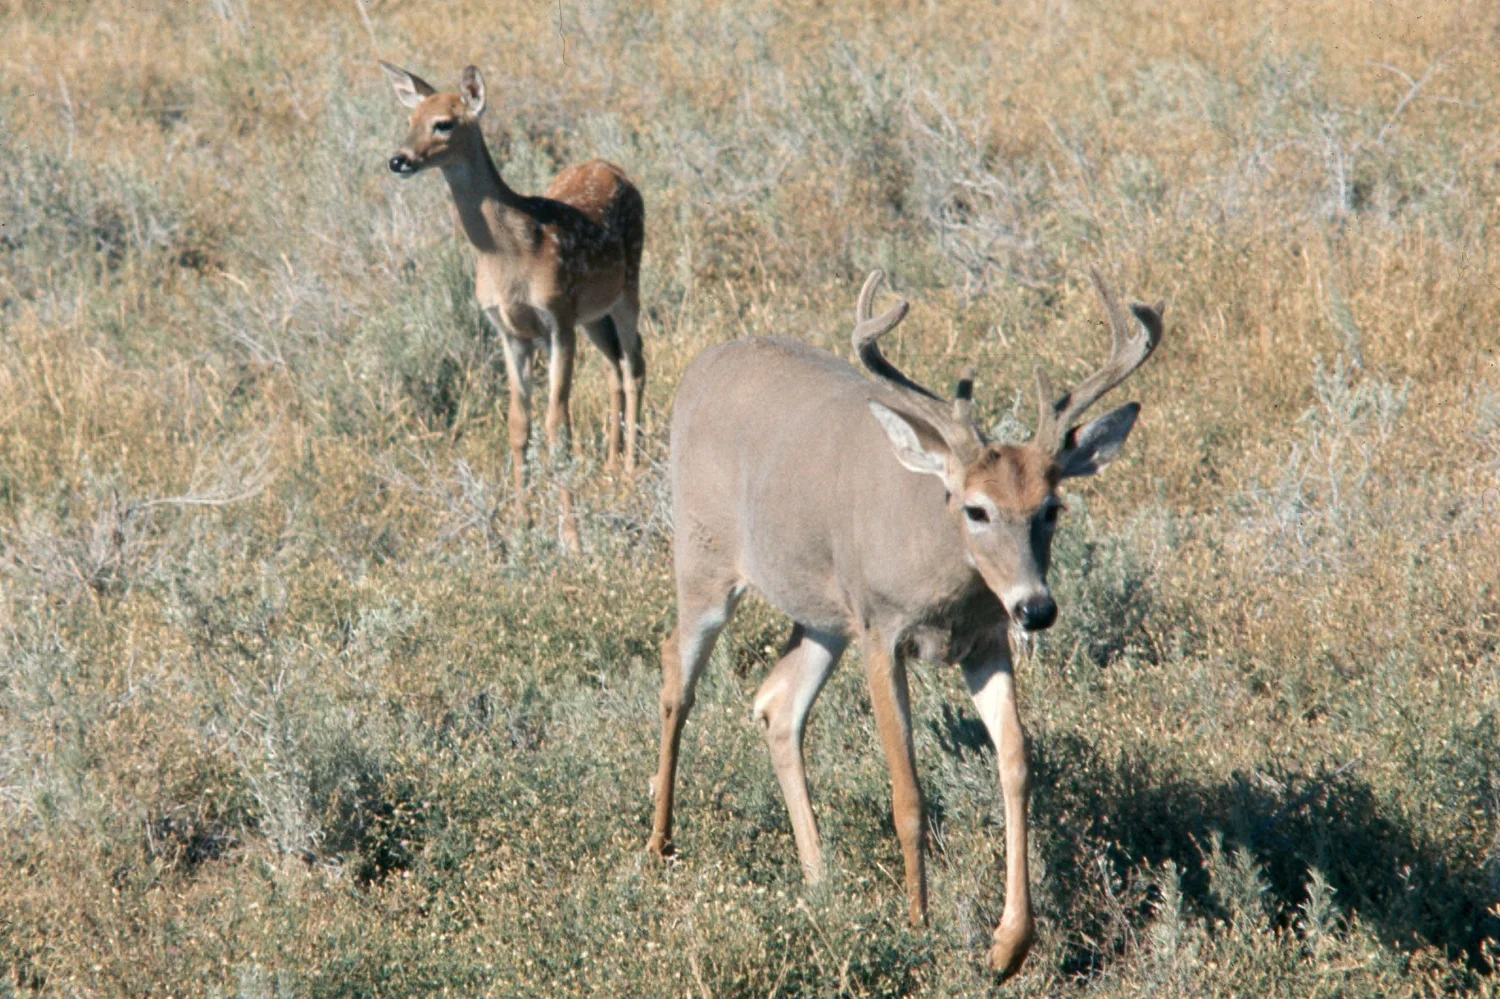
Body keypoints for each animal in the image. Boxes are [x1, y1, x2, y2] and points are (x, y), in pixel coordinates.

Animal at [380, 62, 646, 550]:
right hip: (593, 314)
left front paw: (571, 537)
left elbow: (557, 427)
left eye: (443, 123)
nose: (398, 160)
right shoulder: (509, 333)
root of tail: (613, 167)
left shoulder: (557, 319)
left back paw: (633, 471)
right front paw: (522, 528)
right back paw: (612, 468)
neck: (508, 257)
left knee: (636, 363)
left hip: (628, 285)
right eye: (410, 119)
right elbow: (519, 426)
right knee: (616, 367)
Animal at [646, 267, 1164, 976]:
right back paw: (659, 846)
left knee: (778, 703)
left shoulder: (985, 640)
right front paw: (918, 925)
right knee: (676, 670)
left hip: (825, 617)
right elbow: (908, 792)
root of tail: (702, 364)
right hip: (705, 560)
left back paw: (820, 879)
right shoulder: (881, 630)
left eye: (1052, 507)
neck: (941, 575)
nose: (1037, 608)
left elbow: (1016, 762)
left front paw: (1008, 945)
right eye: (976, 509)